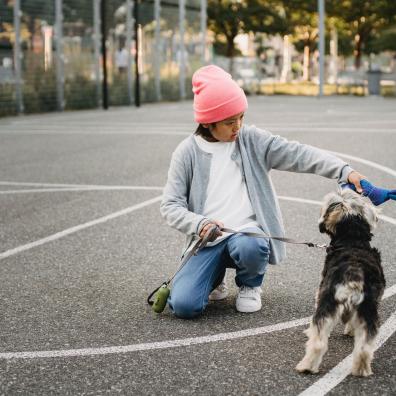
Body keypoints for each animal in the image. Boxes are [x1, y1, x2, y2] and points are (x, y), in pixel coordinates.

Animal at [296, 189, 386, 378]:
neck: (353, 241)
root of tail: (354, 273)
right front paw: (350, 331)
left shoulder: (320, 292)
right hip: (368, 309)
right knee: (365, 346)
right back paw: (361, 370)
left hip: (327, 303)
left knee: (318, 341)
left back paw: (306, 366)